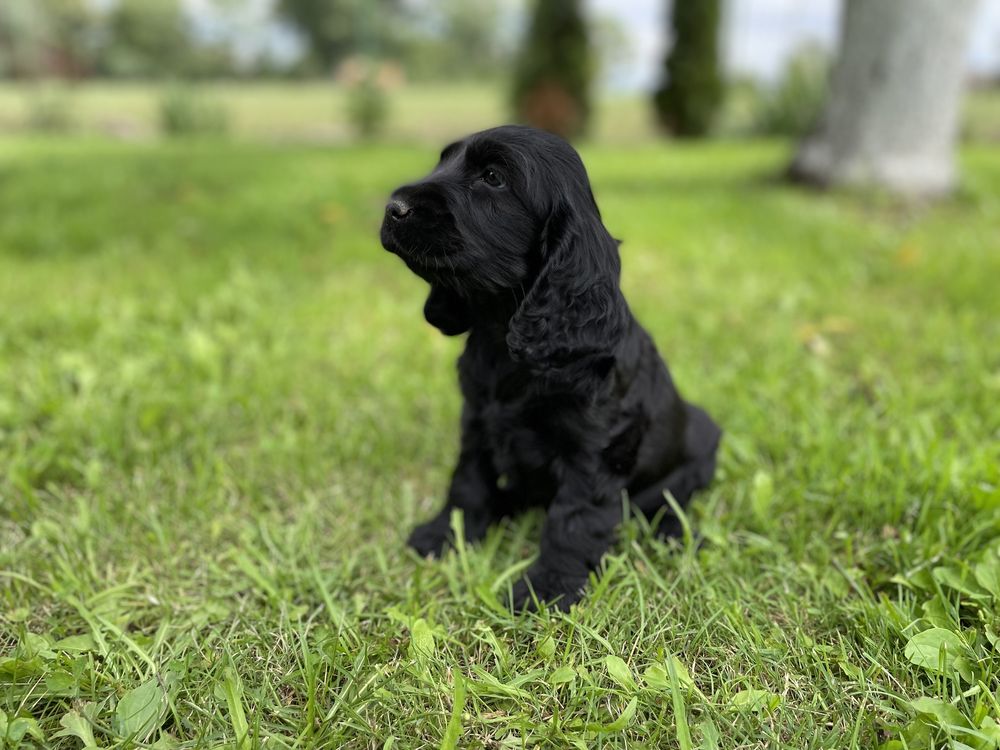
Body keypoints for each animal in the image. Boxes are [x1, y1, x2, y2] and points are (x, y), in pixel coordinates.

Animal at [380, 128, 720, 612]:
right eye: (443, 162)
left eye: (492, 177)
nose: (393, 207)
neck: (504, 333)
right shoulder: (477, 422)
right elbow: (468, 482)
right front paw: (445, 535)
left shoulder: (593, 453)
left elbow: (571, 521)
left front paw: (548, 588)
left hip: (703, 441)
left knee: (674, 500)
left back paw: (674, 536)